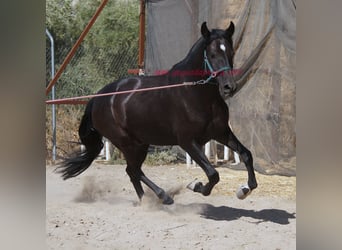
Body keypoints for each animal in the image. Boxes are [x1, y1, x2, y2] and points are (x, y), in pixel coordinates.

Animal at [57, 22, 258, 205]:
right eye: (212, 54)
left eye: (231, 53)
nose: (229, 87)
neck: (195, 94)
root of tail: (97, 98)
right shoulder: (187, 141)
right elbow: (213, 173)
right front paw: (197, 186)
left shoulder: (221, 133)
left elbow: (246, 154)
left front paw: (244, 189)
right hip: (127, 143)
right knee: (134, 170)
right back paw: (162, 197)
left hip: (141, 143)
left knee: (132, 172)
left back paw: (146, 200)